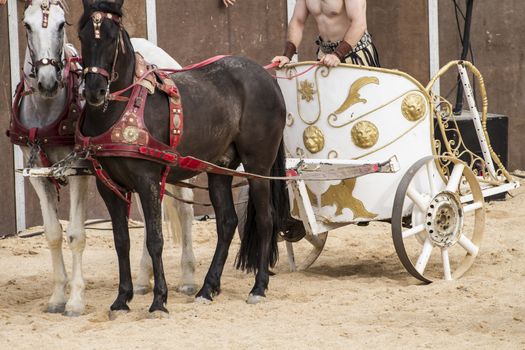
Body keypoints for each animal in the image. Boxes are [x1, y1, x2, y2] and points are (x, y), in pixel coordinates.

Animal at [77, 0, 288, 316]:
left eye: (113, 37)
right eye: (82, 35)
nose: (95, 91)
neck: (120, 110)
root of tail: (267, 78)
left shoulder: (148, 181)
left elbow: (155, 240)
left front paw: (158, 301)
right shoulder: (109, 186)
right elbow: (121, 241)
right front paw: (122, 299)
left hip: (258, 166)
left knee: (265, 219)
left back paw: (258, 287)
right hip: (219, 169)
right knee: (227, 223)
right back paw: (207, 288)